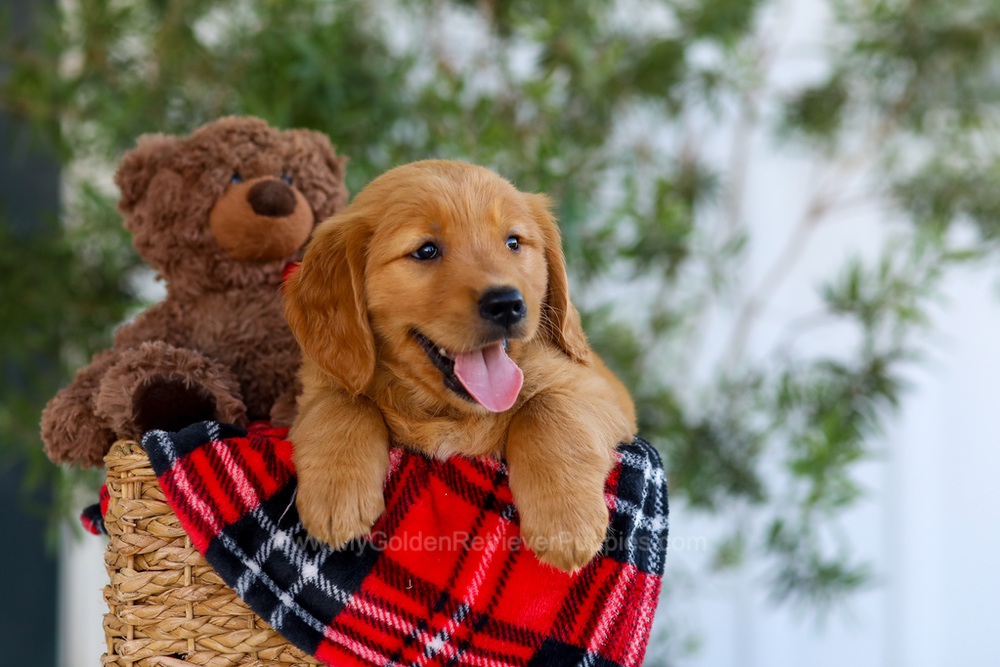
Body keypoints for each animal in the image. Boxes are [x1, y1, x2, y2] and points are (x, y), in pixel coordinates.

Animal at [286, 159, 636, 572]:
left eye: (513, 243)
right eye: (426, 250)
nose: (506, 303)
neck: (450, 411)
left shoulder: (601, 390)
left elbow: (547, 406)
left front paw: (566, 522)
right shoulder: (316, 386)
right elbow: (345, 400)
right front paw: (335, 494)